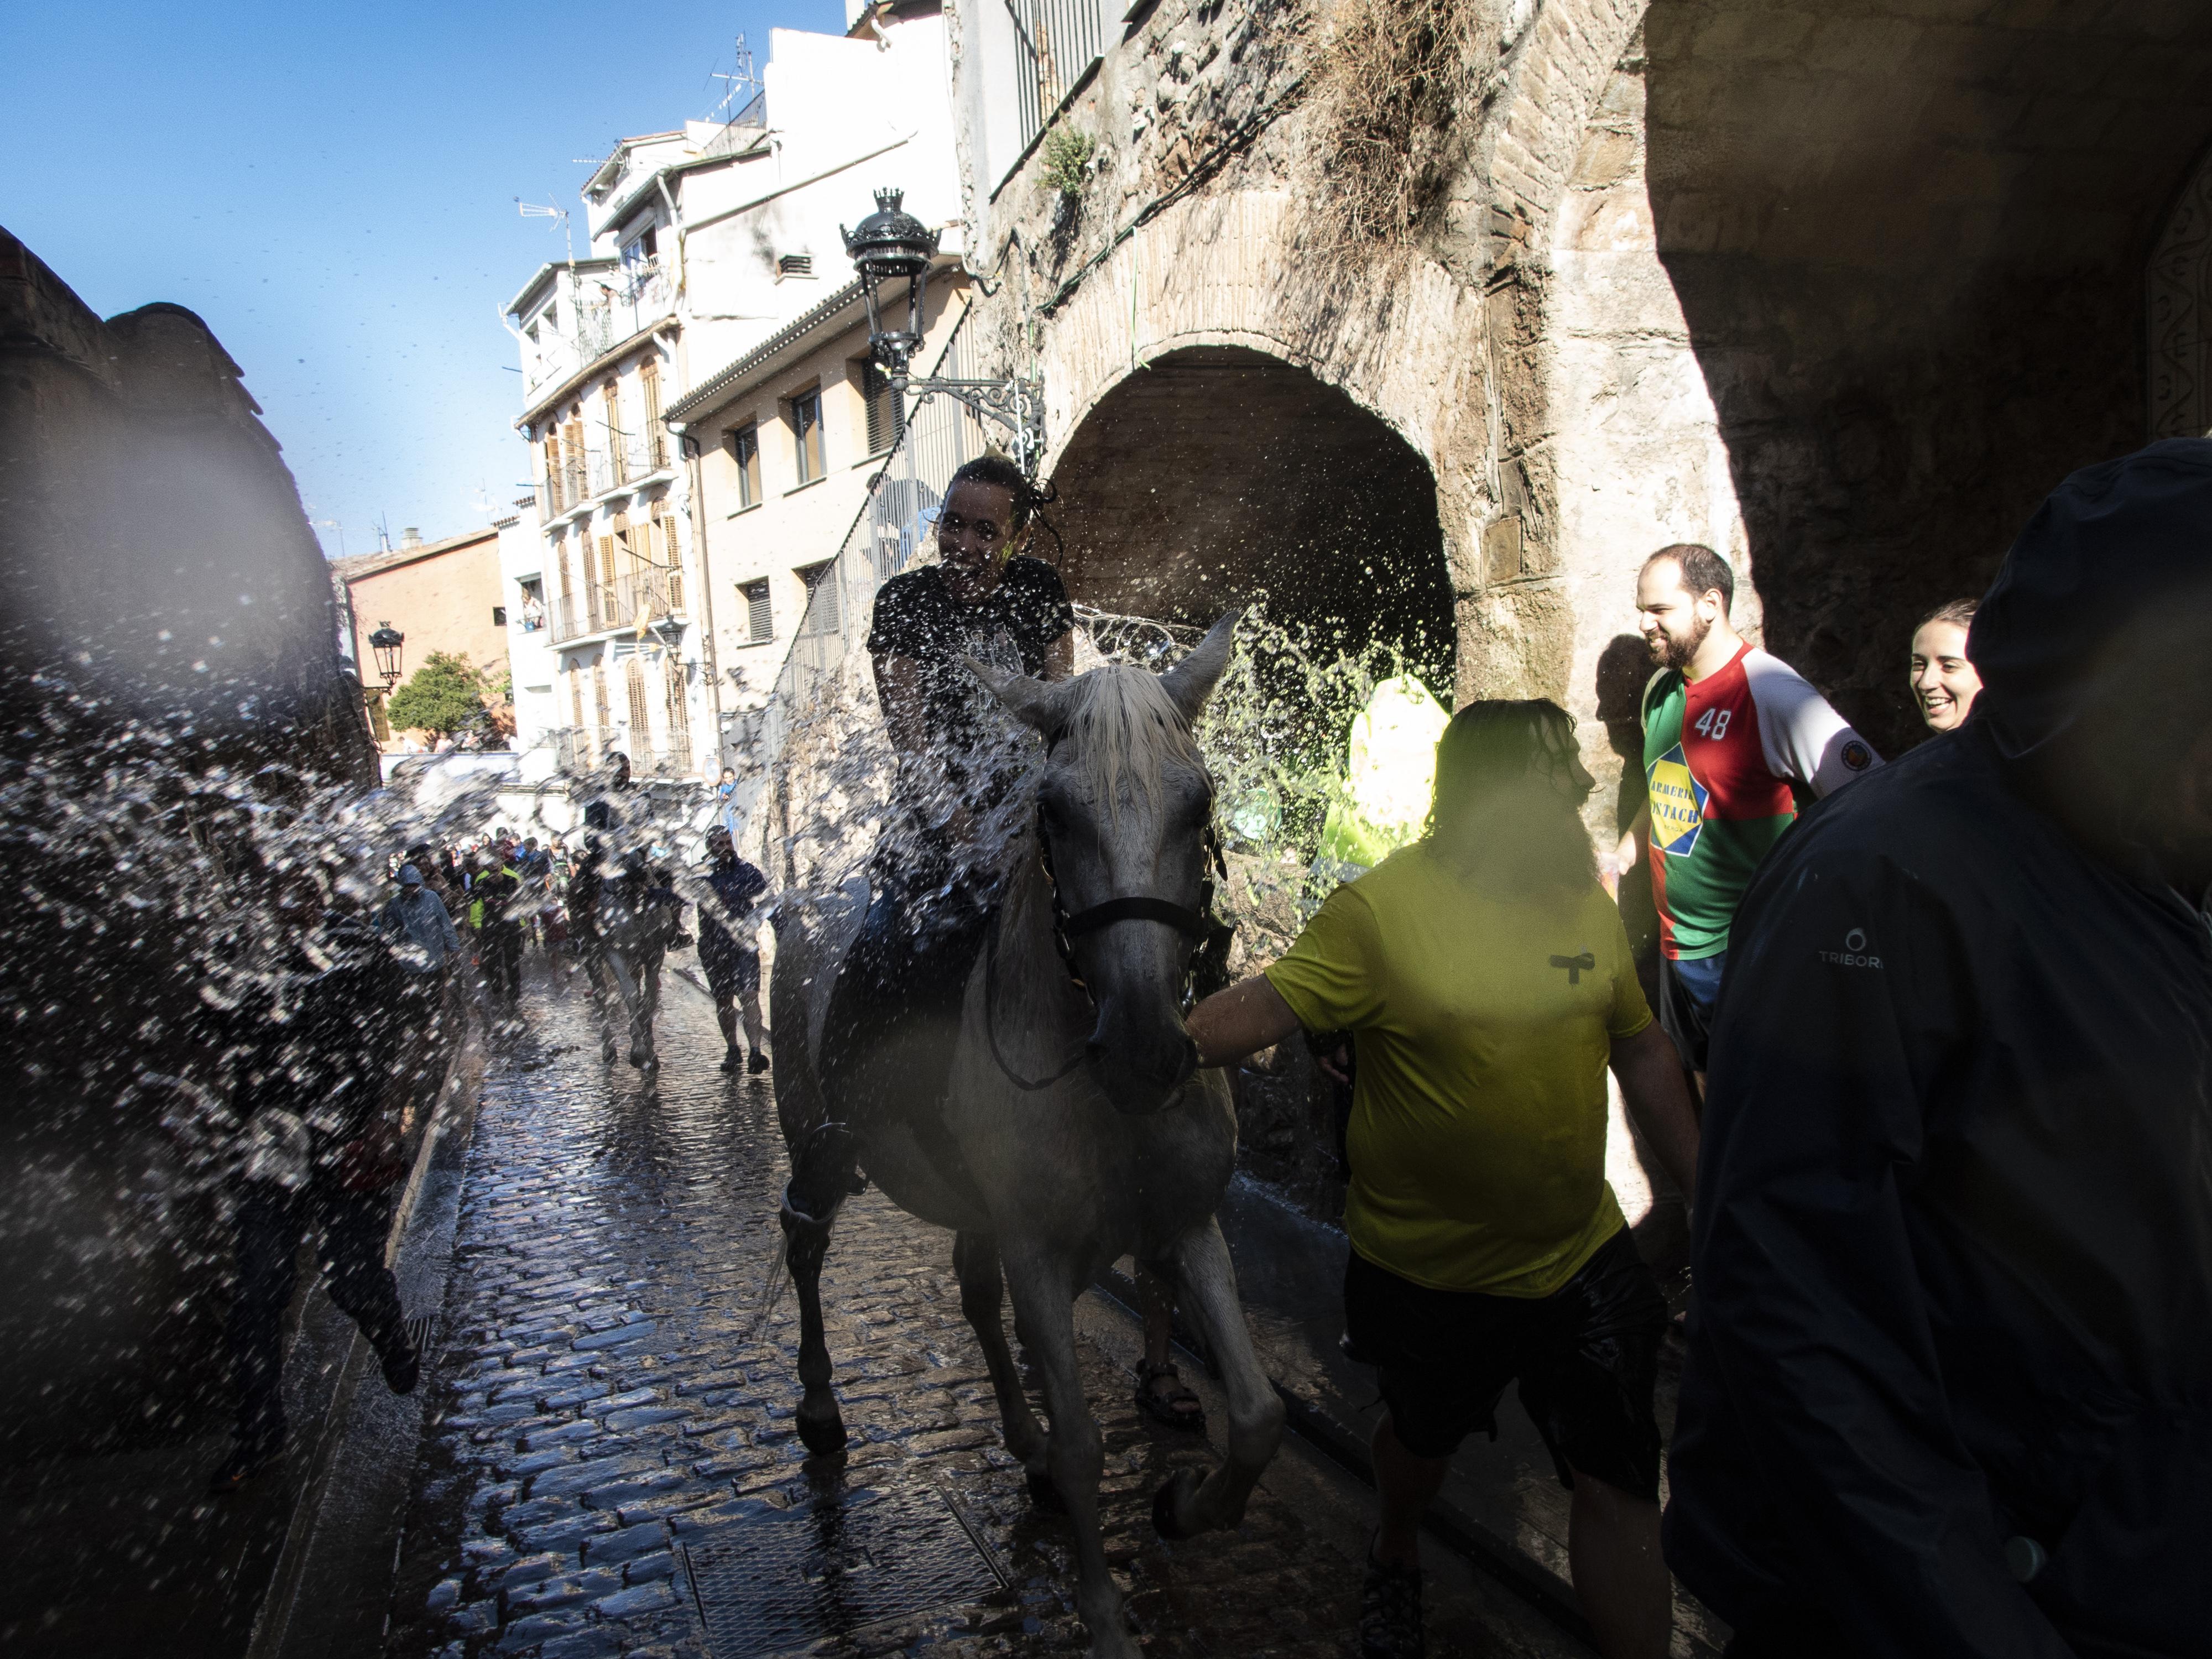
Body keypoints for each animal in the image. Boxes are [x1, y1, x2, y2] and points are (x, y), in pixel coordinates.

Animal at [774, 619, 1283, 1659]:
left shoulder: (1185, 1226)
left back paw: (1022, 1445)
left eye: (1201, 800)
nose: (1144, 1049)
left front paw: (1183, 1508)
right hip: (814, 1141)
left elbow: (1255, 1415)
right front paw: (1107, 1619)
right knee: (804, 1246)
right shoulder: (1042, 1253)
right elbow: (1088, 1439)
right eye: (1053, 810)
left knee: (972, 1293)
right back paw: (821, 1407)